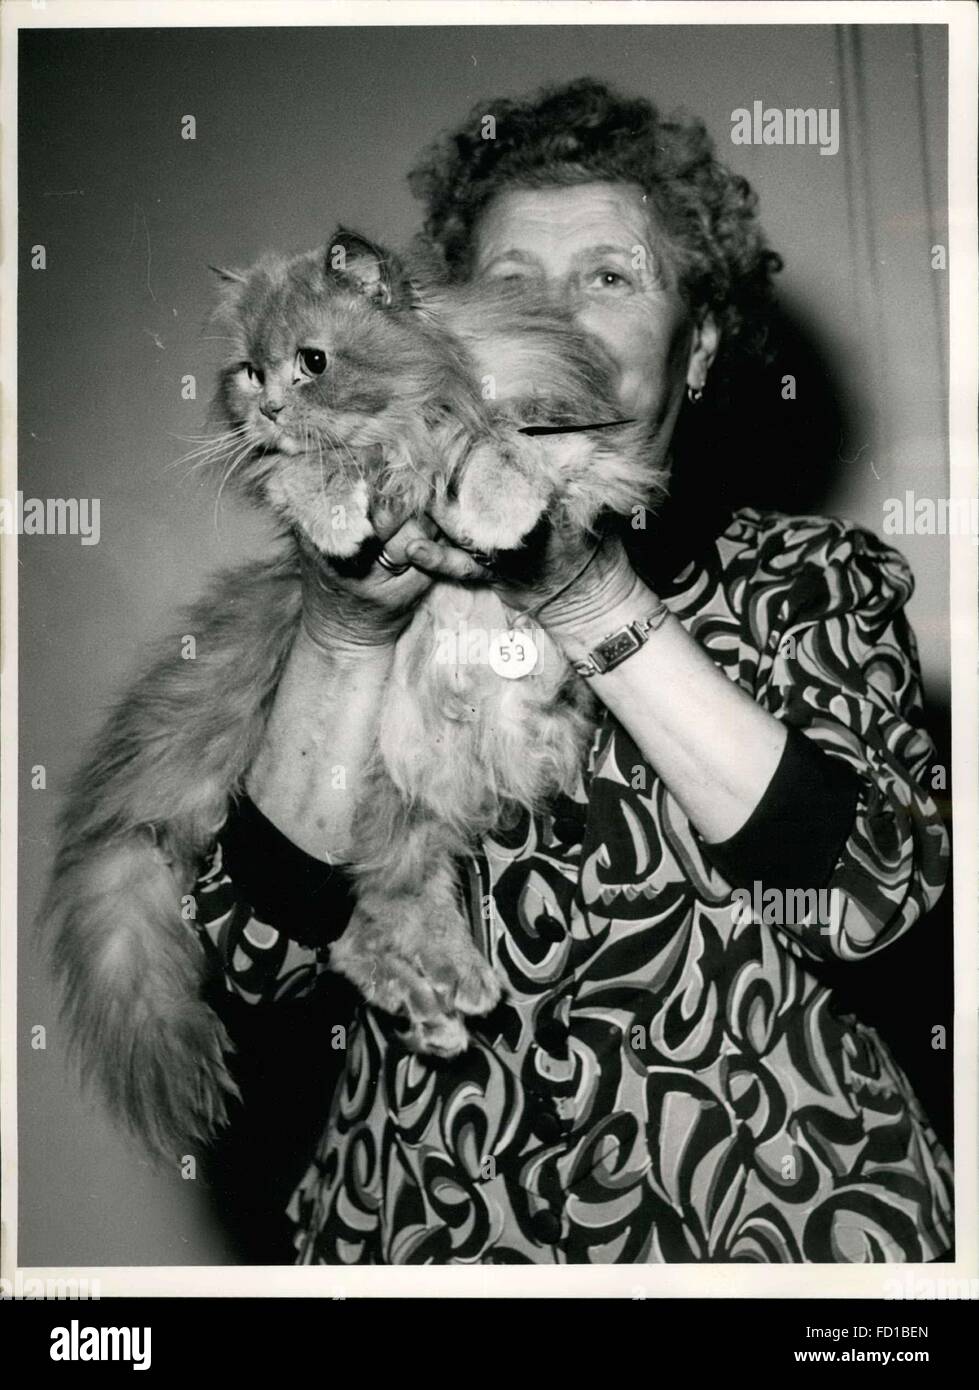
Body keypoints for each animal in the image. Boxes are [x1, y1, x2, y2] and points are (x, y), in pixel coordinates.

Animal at [42, 227, 661, 1156]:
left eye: (312, 362)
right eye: (249, 371)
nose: (267, 407)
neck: (415, 408)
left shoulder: (564, 434)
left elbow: (498, 446)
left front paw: (497, 505)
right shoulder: (309, 470)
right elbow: (312, 474)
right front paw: (340, 514)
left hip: (419, 795)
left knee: (382, 913)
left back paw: (447, 1002)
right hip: (384, 789)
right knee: (372, 923)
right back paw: (445, 1003)